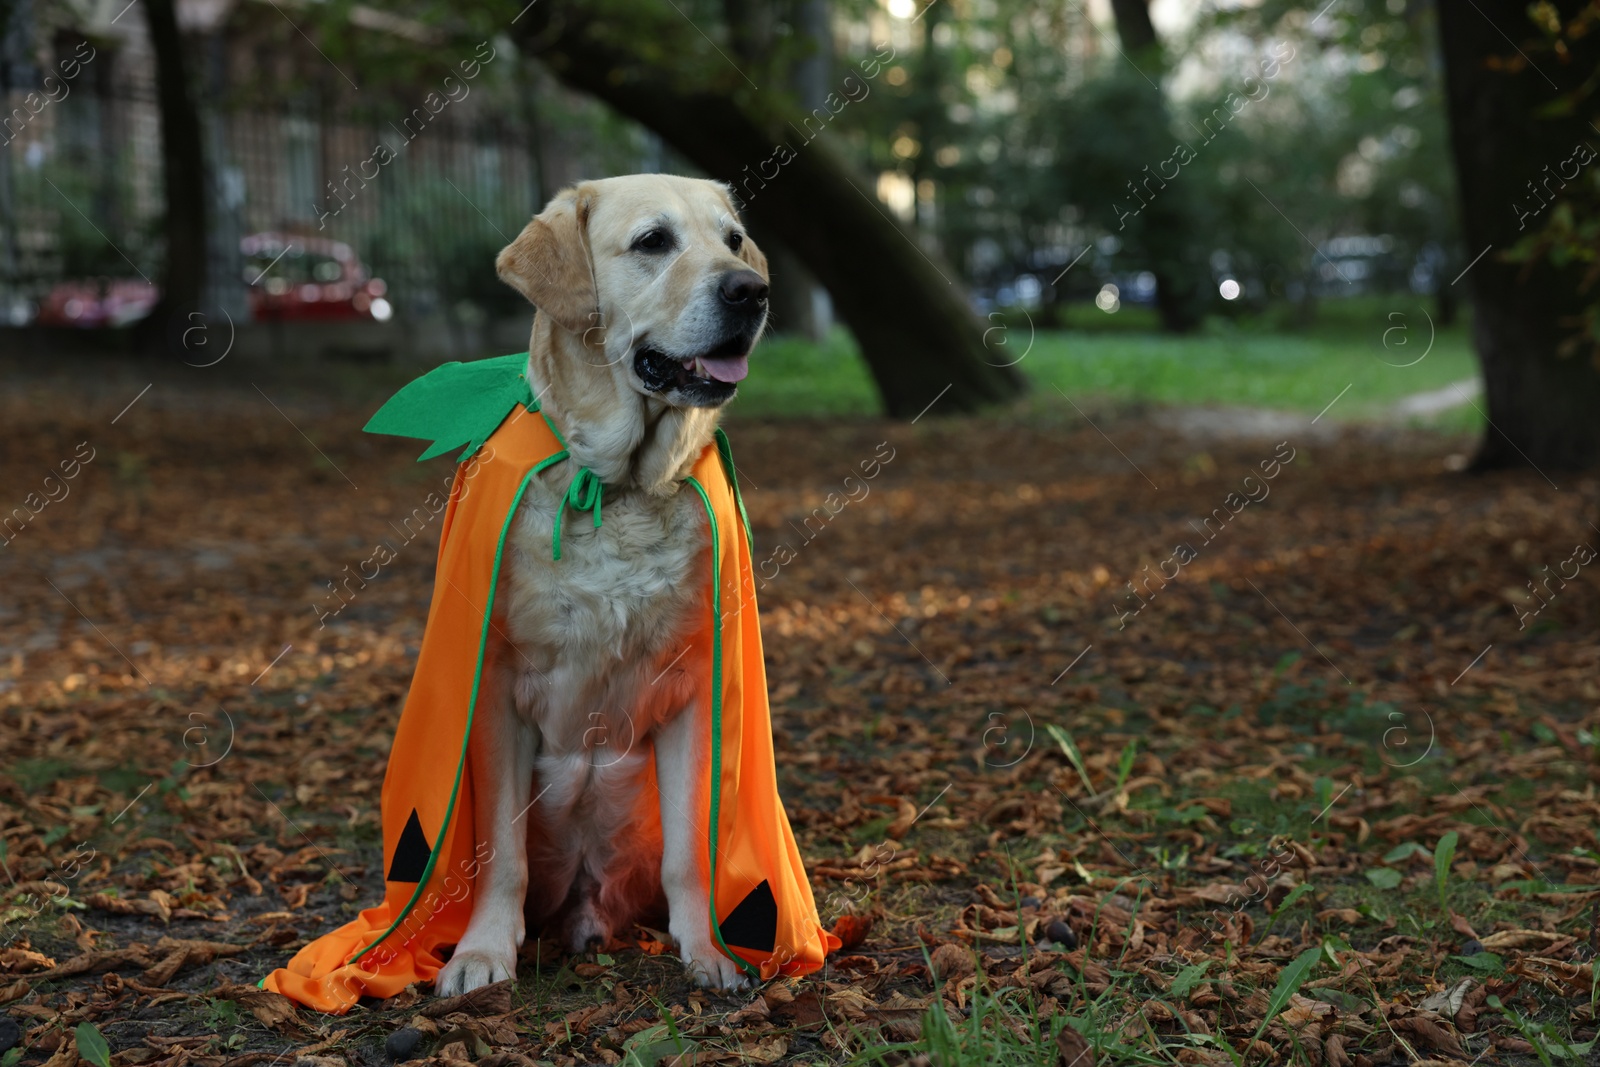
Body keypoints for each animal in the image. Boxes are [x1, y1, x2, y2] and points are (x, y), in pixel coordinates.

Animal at [432, 171, 768, 998]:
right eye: (653, 241)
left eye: (734, 240)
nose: (752, 290)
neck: (617, 490)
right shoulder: (496, 691)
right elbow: (500, 853)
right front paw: (481, 952)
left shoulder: (693, 691)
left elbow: (690, 853)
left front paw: (708, 952)